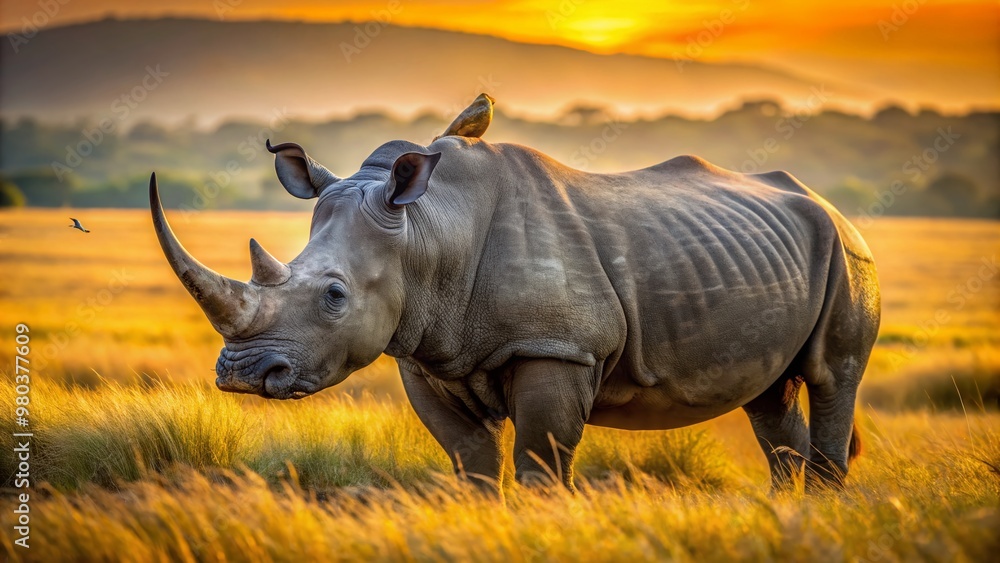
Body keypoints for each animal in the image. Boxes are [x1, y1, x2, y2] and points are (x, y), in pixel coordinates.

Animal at [149, 95, 880, 492]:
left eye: (334, 295)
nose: (242, 374)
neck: (427, 230)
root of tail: (830, 206)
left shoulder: (557, 347)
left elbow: (539, 469)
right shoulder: (426, 354)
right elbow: (472, 467)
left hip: (848, 252)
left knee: (831, 375)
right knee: (771, 398)